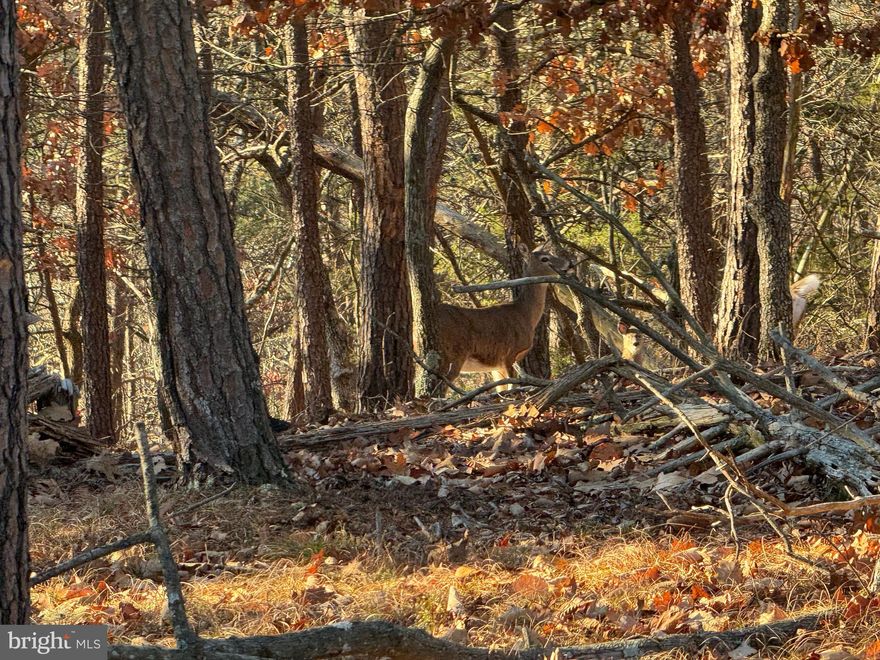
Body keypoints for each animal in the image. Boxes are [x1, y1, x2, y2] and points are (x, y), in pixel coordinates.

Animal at [436, 245, 574, 389]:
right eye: (545, 258)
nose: (570, 263)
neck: (525, 315)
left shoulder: (497, 366)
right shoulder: (510, 354)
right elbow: (513, 386)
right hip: (454, 353)